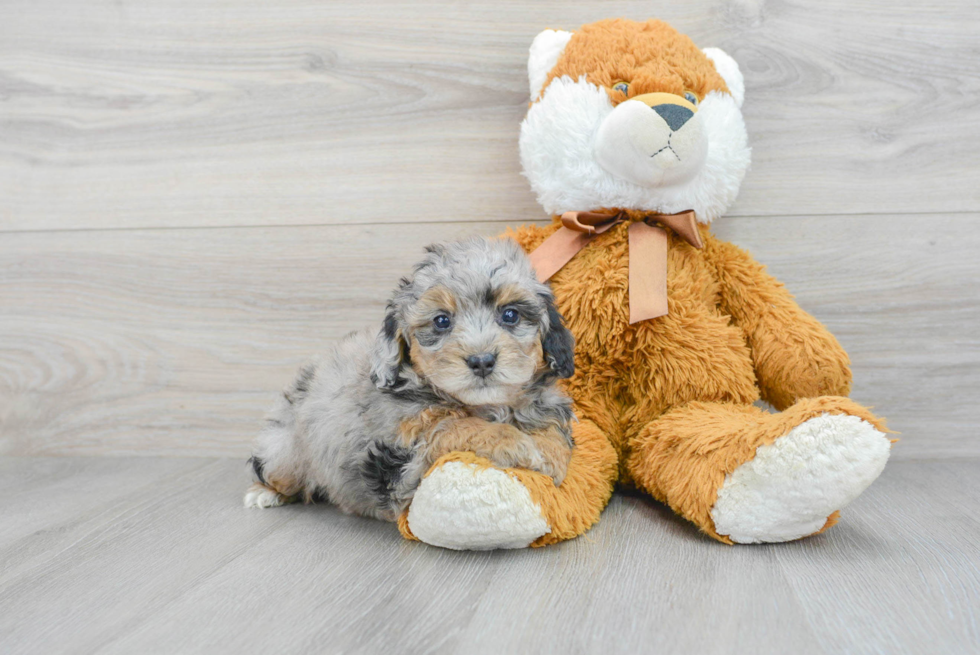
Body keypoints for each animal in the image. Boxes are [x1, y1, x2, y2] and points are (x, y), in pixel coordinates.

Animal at [243, 237, 576, 524]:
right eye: (441, 321)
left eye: (510, 315)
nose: (481, 361)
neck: (486, 404)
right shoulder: (400, 460)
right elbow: (454, 426)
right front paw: (514, 442)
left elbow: (552, 429)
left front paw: (553, 456)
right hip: (284, 451)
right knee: (272, 471)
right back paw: (263, 494)